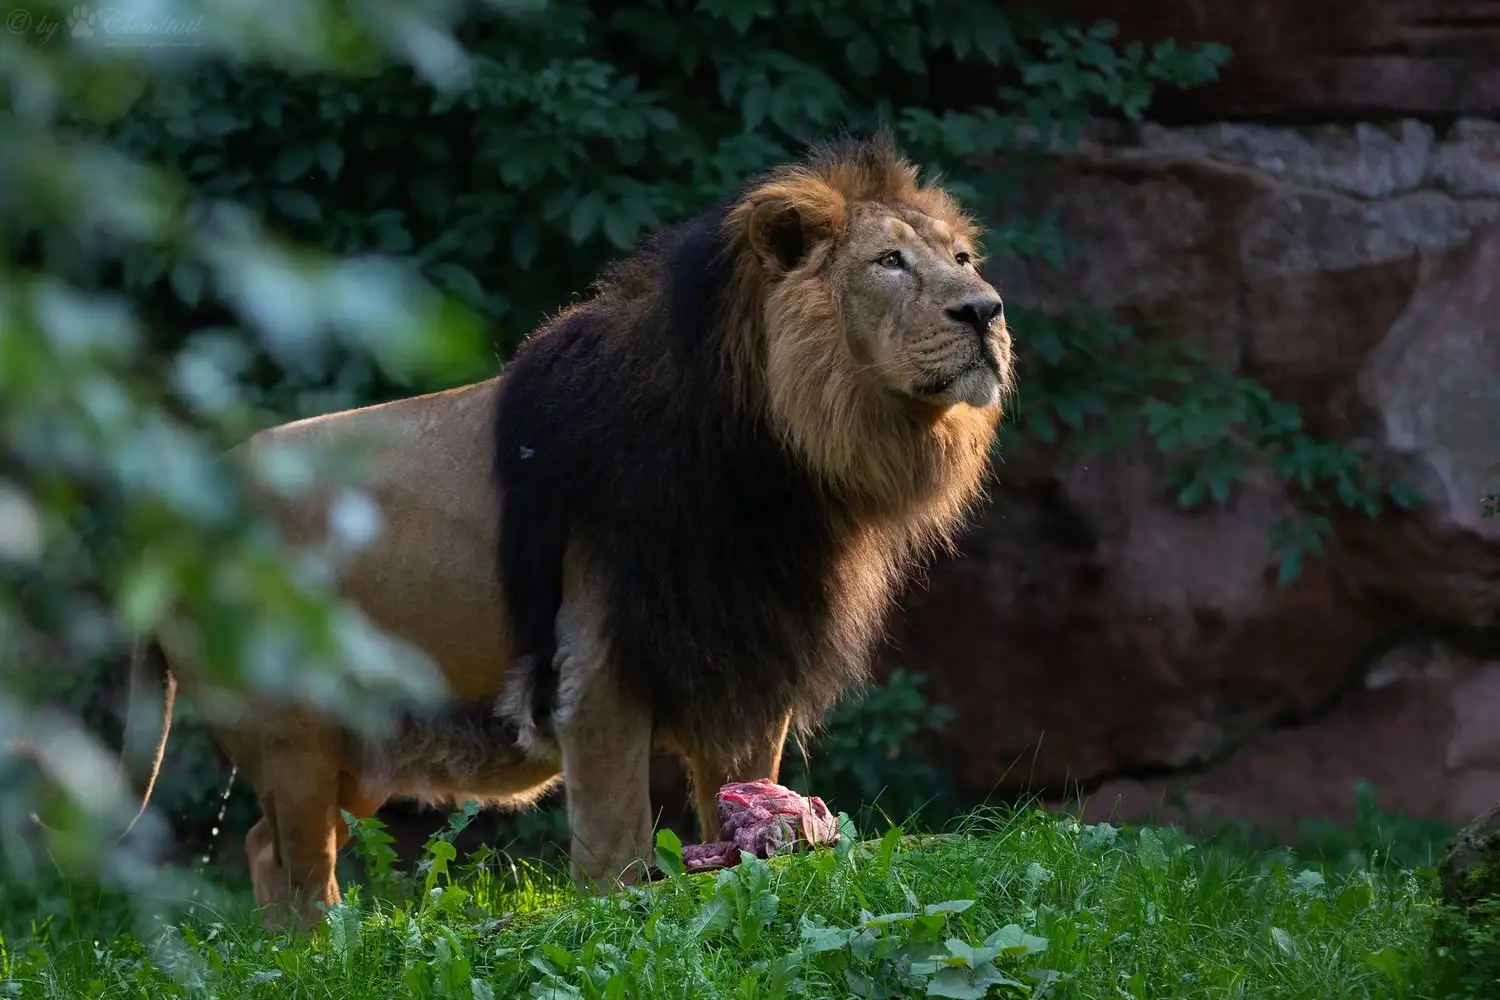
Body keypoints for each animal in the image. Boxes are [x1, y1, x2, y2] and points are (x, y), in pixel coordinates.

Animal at [123, 132, 1014, 929]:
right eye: (889, 262)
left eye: (963, 259)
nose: (987, 312)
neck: (782, 461)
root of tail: (167, 520)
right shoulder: (597, 671)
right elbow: (616, 843)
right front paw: (619, 919)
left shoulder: (743, 661)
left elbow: (739, 799)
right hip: (292, 734)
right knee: (301, 868)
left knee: (263, 847)